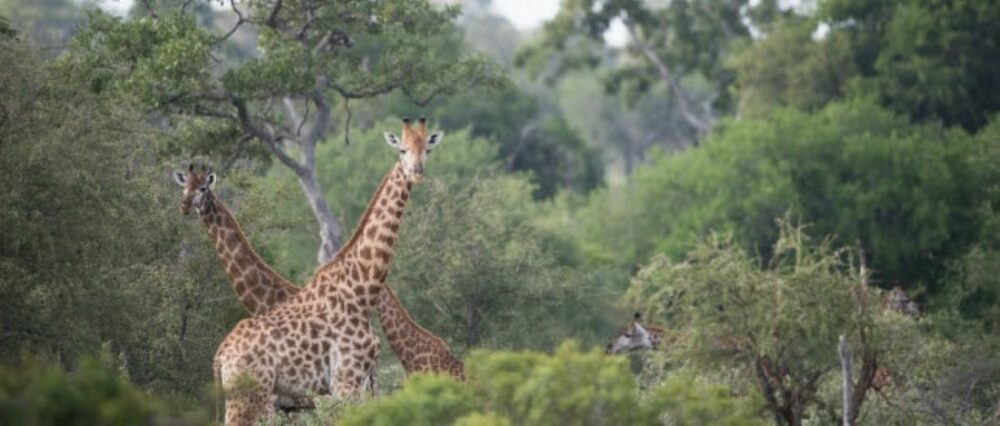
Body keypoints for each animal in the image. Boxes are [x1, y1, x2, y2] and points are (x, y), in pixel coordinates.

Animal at [213, 117, 444, 426]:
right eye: (402, 150)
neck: (362, 286)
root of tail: (222, 354)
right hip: (250, 396)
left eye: (427, 150)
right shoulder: (345, 379)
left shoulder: (357, 382)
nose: (416, 173)